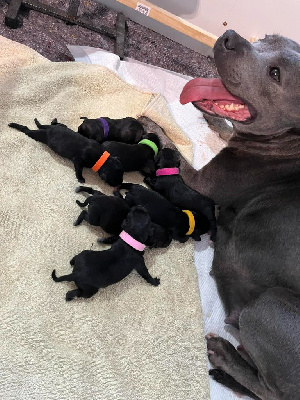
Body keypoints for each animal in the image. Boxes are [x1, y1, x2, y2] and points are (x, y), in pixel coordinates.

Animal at [178, 29, 300, 398]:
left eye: (275, 74)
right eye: (268, 37)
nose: (230, 37)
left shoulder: (200, 180)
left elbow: (164, 139)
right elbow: (228, 129)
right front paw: (217, 120)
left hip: (269, 305)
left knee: (270, 390)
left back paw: (225, 355)